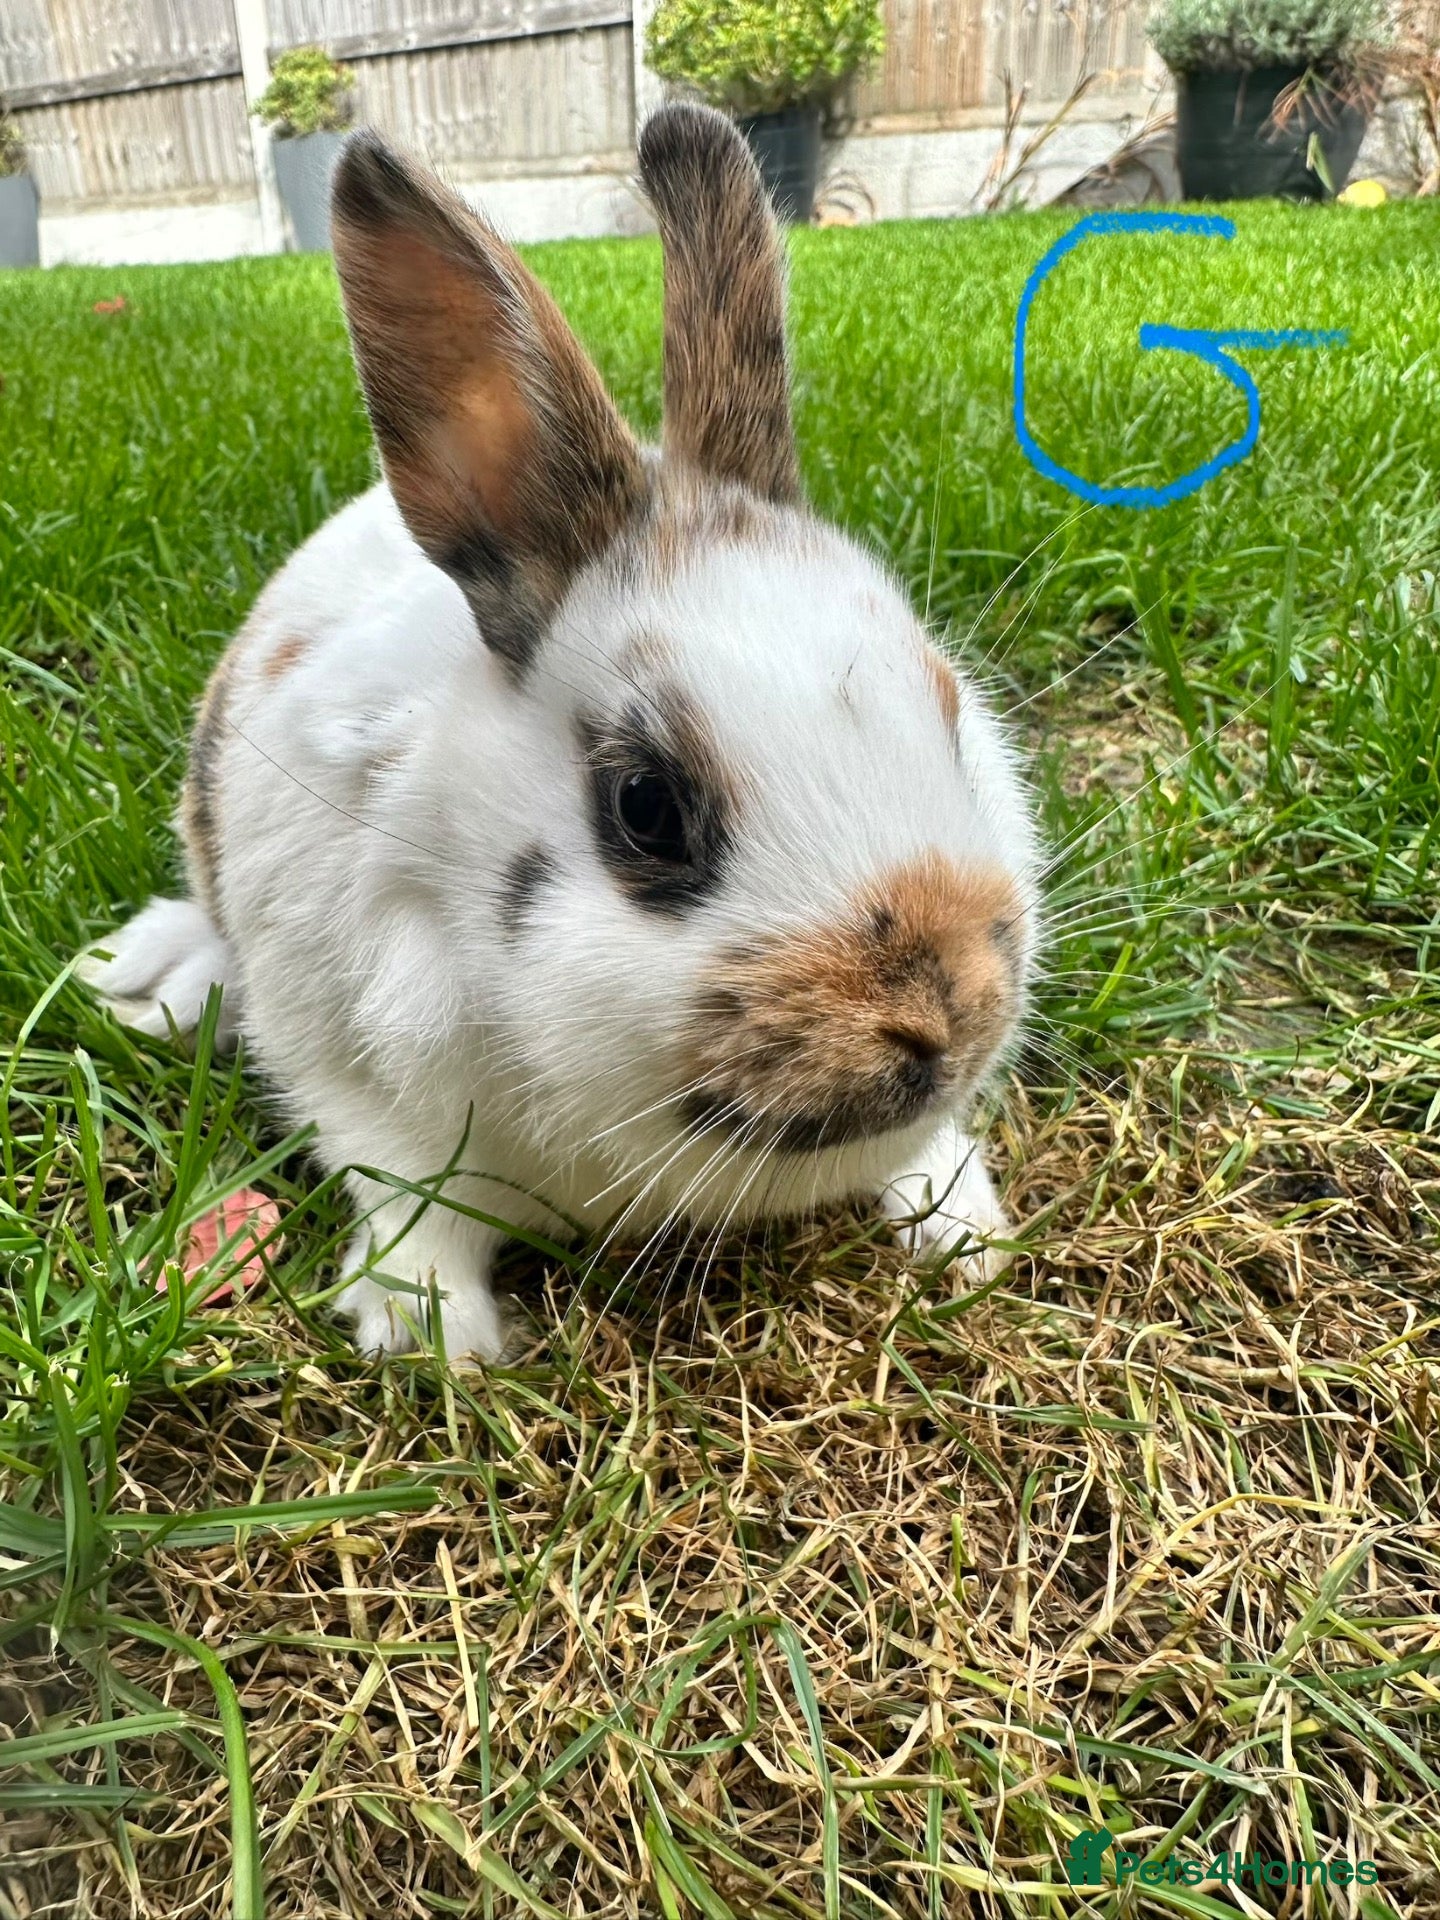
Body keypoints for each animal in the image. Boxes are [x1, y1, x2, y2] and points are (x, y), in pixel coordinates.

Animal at [80, 104, 1042, 1362]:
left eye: (948, 709)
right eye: (648, 809)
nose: (946, 1013)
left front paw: (966, 1233)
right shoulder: (351, 1074)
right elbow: (405, 1202)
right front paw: (438, 1340)